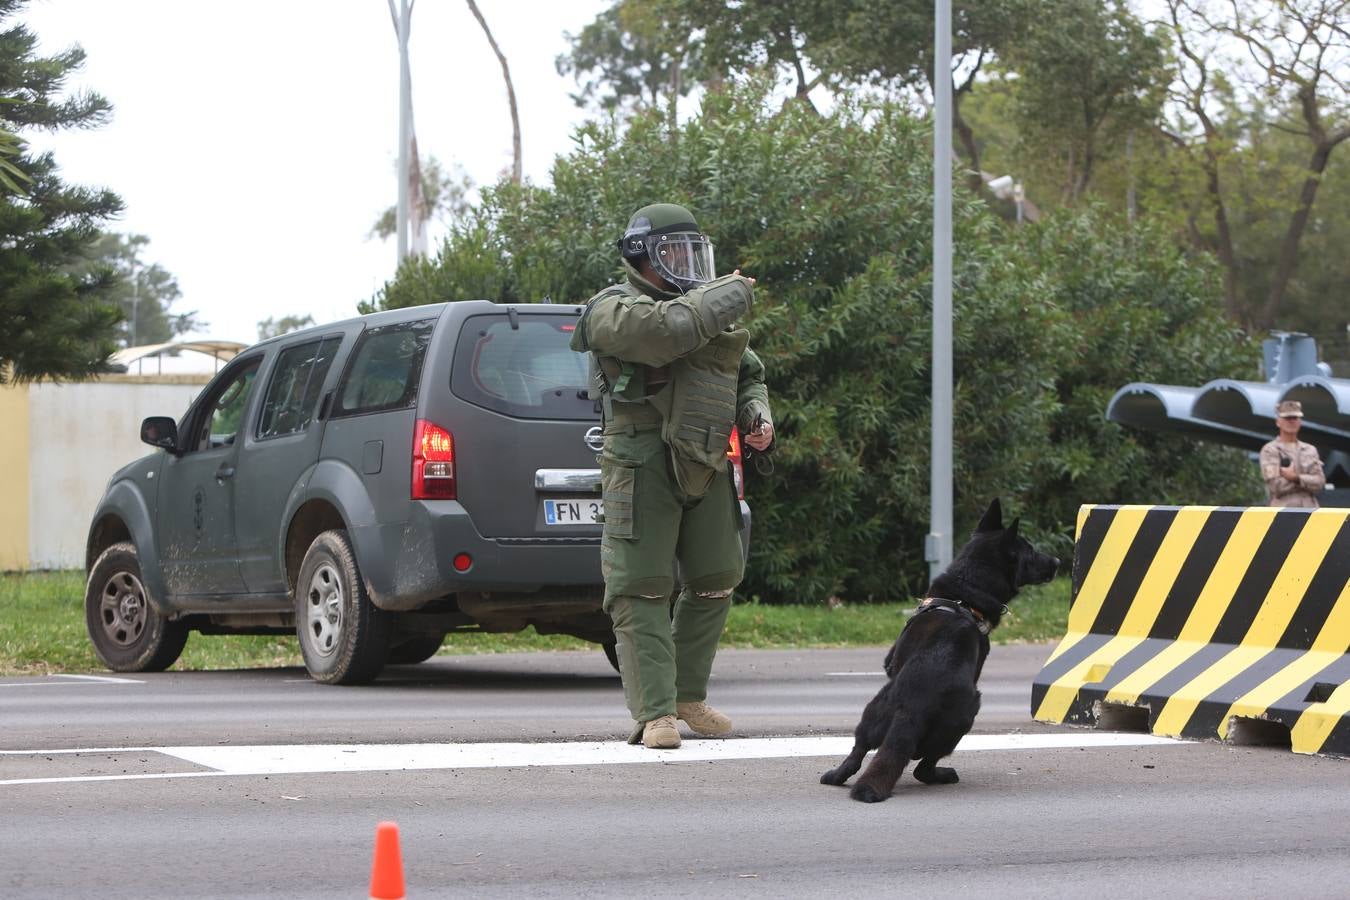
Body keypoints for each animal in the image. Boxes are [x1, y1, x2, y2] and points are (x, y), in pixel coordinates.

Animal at [815, 499, 1058, 804]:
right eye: (1031, 551)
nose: (1058, 562)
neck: (966, 593)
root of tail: (910, 707)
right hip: (966, 714)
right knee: (922, 768)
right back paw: (942, 774)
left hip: (873, 714)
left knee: (857, 753)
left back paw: (835, 776)